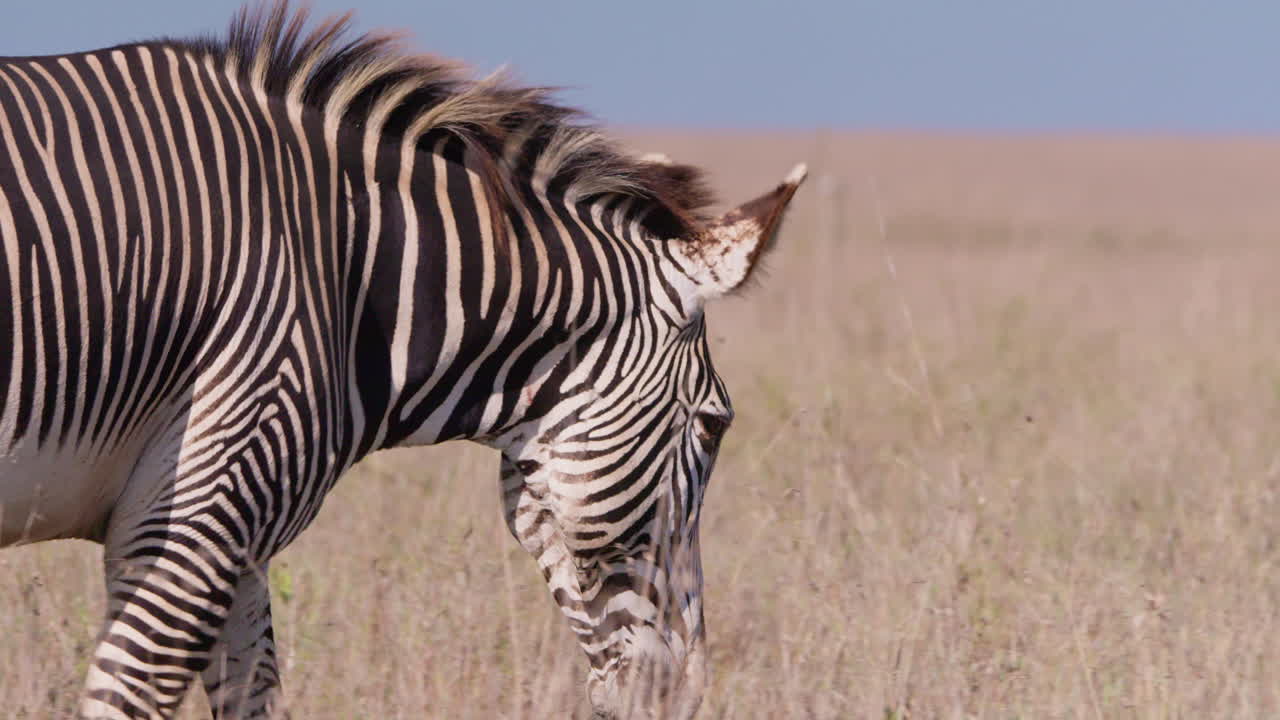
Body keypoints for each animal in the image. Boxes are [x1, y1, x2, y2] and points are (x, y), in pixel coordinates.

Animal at [0, 4, 806, 719]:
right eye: (714, 426)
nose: (684, 695)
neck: (342, 266)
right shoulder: (194, 512)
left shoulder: (236, 532)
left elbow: (256, 696)